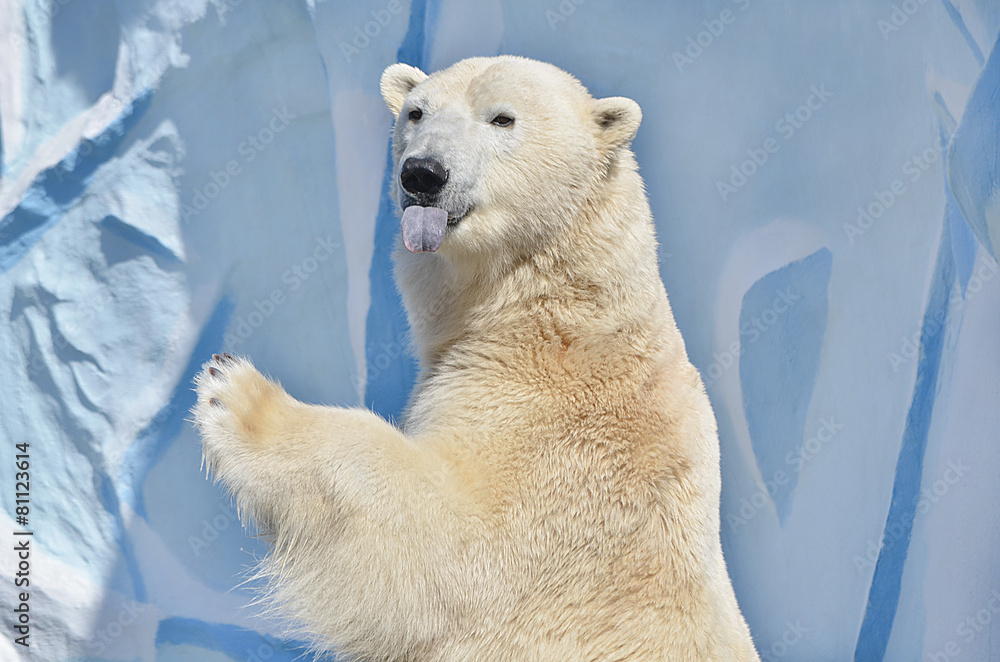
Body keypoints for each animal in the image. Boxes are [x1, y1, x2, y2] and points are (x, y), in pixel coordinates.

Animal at [193, 55, 759, 661]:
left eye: (502, 118)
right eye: (416, 112)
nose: (421, 174)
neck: (550, 312)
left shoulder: (559, 450)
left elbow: (445, 549)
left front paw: (236, 391)